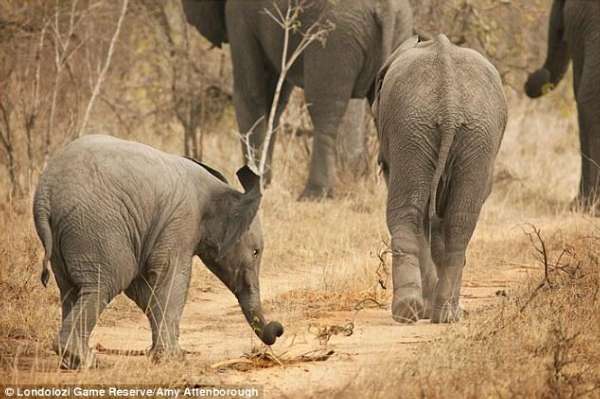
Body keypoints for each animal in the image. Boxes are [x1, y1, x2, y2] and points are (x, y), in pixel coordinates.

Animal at [32, 134, 284, 368]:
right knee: (107, 283)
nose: (278, 328)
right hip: (96, 226)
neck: (220, 189)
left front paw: (164, 355)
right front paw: (173, 359)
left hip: (70, 235)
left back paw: (70, 362)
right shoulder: (180, 222)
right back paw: (85, 361)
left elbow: (143, 289)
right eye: (255, 252)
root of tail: (46, 195)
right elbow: (170, 280)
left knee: (71, 289)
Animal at [180, 0, 412, 200]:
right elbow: (276, 100)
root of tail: (386, 8)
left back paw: (314, 195)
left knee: (323, 111)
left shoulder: (238, 17)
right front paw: (264, 183)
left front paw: (253, 184)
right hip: (397, 33)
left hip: (335, 39)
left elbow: (251, 91)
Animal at [376, 35, 506, 324]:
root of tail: (450, 103)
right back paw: (441, 313)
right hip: (435, 129)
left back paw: (416, 312)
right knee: (455, 219)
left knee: (416, 213)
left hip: (426, 128)